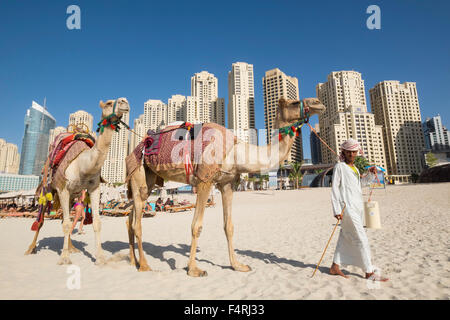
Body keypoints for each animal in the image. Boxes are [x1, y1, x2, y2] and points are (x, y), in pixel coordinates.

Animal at [125, 97, 326, 276]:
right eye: (294, 102)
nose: (318, 103)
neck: (236, 153)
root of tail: (137, 146)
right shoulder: (204, 180)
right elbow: (196, 226)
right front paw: (194, 270)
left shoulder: (227, 183)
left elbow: (229, 226)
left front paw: (238, 266)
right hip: (138, 173)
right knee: (137, 222)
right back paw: (145, 266)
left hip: (150, 178)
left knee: (130, 219)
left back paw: (133, 261)